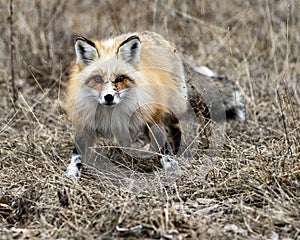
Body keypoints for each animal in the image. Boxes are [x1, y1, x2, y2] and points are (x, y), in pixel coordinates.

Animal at [64, 31, 245, 178]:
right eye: (97, 79)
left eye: (120, 78)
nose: (108, 97)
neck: (113, 112)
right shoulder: (85, 120)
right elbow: (77, 152)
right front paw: (72, 173)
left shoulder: (151, 116)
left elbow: (163, 145)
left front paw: (172, 167)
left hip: (172, 108)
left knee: (176, 130)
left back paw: (179, 151)